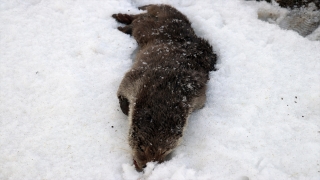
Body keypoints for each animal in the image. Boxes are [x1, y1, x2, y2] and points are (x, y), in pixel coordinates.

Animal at [111, 3, 216, 170]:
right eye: (141, 147)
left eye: (166, 150)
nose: (147, 166)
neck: (165, 88)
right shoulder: (136, 78)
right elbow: (121, 92)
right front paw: (125, 109)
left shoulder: (198, 96)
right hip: (147, 28)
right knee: (138, 19)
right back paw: (120, 22)